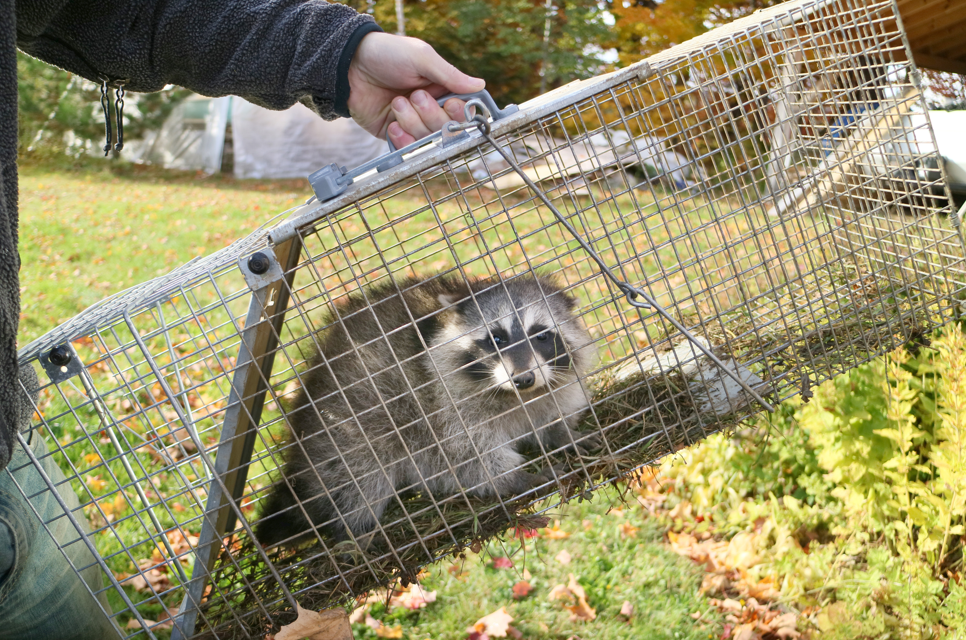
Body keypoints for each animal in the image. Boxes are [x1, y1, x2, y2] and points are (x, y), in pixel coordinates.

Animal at [256, 273, 597, 548]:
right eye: (497, 338)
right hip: (344, 428)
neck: (515, 396)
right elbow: (469, 456)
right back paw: (355, 533)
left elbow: (550, 416)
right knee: (359, 477)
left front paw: (563, 433)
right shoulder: (441, 409)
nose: (523, 378)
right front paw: (517, 478)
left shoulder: (549, 390)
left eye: (541, 335)